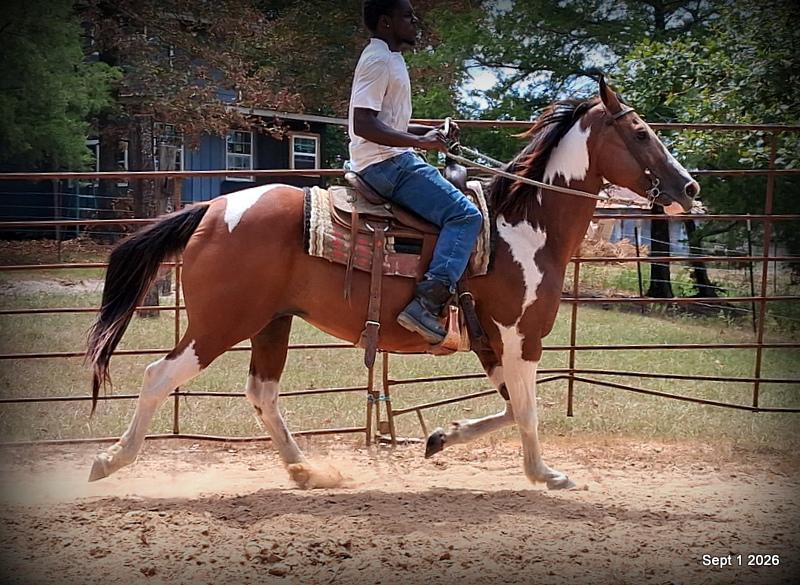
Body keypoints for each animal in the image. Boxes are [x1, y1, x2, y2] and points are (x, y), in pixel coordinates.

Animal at [86, 78, 698, 489]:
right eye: (641, 132)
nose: (688, 187)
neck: (524, 227)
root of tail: (213, 209)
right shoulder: (521, 336)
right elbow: (527, 410)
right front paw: (545, 474)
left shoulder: (492, 342)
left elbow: (510, 406)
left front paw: (442, 437)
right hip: (221, 323)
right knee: (158, 375)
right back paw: (109, 461)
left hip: (271, 323)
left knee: (261, 393)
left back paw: (306, 470)